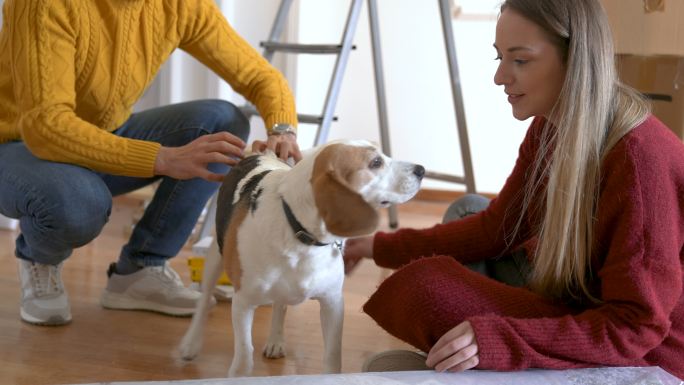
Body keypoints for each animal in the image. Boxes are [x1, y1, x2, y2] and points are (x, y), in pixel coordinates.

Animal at [178, 139, 422, 376]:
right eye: (375, 162)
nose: (420, 169)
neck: (298, 232)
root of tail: (261, 153)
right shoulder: (243, 303)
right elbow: (244, 358)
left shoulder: (332, 302)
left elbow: (332, 357)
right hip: (214, 259)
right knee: (204, 301)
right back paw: (190, 343)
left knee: (280, 305)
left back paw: (275, 339)